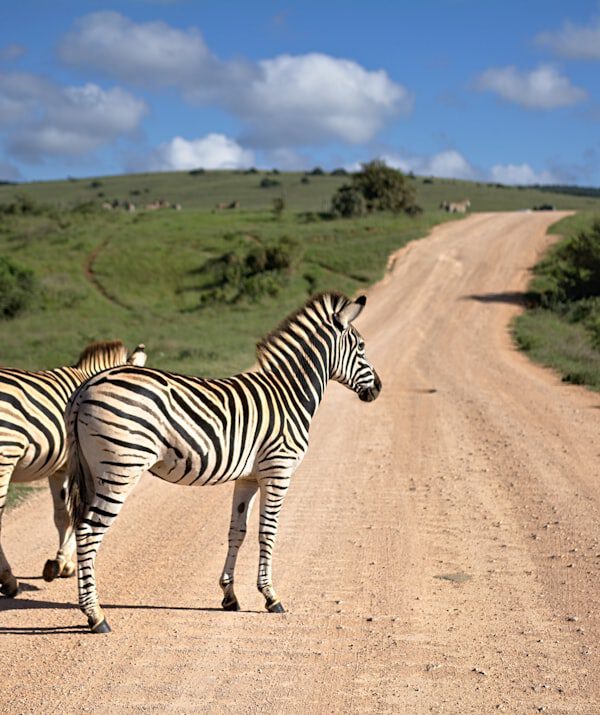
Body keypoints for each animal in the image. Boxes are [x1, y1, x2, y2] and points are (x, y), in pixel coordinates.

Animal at [0, 340, 146, 598]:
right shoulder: (72, 465)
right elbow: (73, 513)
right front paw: (64, 563)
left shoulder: (59, 469)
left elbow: (62, 515)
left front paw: (60, 563)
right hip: (5, 456)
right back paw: (8, 580)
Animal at [67, 292, 382, 633]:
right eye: (361, 347)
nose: (378, 388)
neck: (290, 394)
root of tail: (87, 386)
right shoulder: (278, 470)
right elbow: (268, 531)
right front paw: (271, 596)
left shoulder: (248, 478)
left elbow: (237, 531)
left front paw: (229, 595)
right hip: (120, 469)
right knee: (89, 531)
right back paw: (96, 615)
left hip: (93, 470)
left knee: (80, 527)